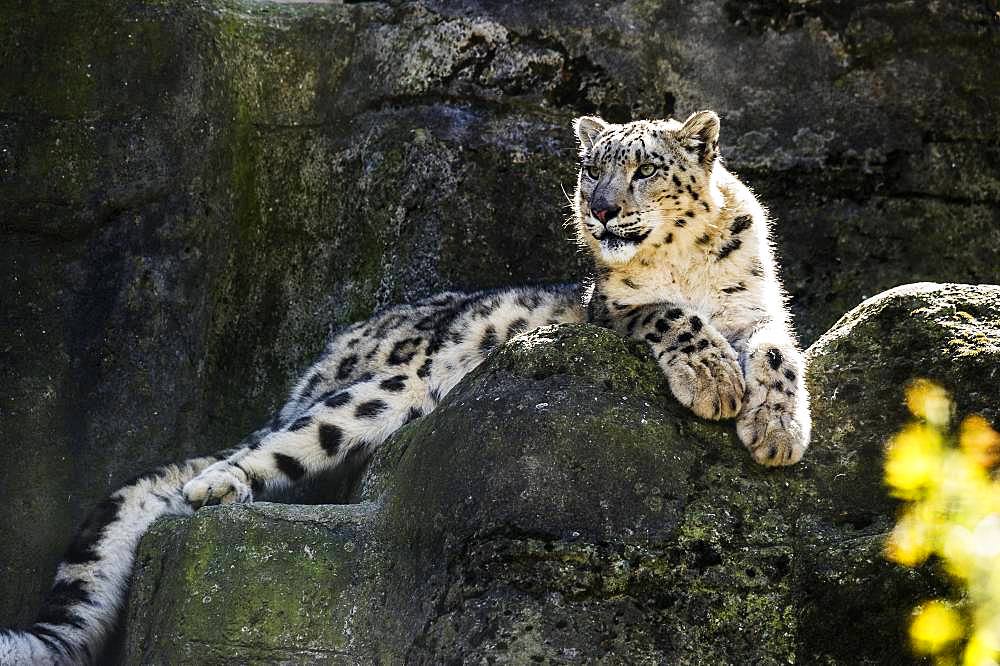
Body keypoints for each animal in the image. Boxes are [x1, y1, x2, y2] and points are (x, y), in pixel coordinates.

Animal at [0, 111, 808, 660]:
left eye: (643, 170)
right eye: (591, 170)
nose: (601, 208)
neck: (689, 261)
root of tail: (328, 358)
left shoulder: (759, 313)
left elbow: (777, 353)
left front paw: (776, 430)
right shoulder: (611, 308)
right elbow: (672, 313)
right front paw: (715, 381)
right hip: (382, 391)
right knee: (258, 452)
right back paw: (213, 488)